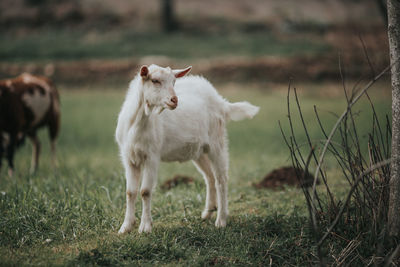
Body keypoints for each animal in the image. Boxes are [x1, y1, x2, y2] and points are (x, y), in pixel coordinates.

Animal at [115, 63, 260, 233]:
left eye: (174, 82)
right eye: (155, 80)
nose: (174, 100)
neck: (138, 123)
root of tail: (220, 101)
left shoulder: (152, 156)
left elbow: (145, 191)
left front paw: (145, 227)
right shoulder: (129, 158)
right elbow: (130, 192)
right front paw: (125, 227)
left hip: (217, 142)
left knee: (221, 179)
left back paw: (221, 220)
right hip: (199, 151)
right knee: (209, 177)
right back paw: (208, 212)